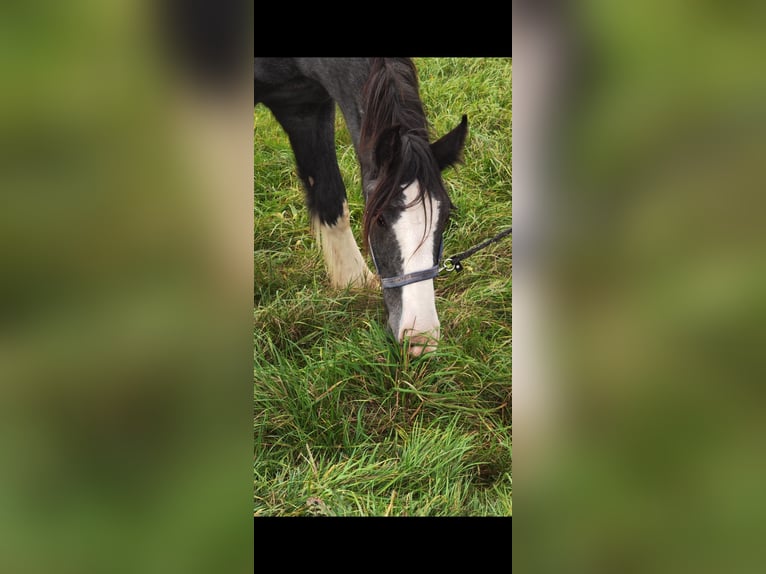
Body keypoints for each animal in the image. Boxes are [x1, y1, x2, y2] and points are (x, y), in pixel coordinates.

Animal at [255, 57, 468, 356]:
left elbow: (331, 199)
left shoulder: (304, 106)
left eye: (445, 218)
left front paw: (353, 281)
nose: (420, 339)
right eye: (379, 219)